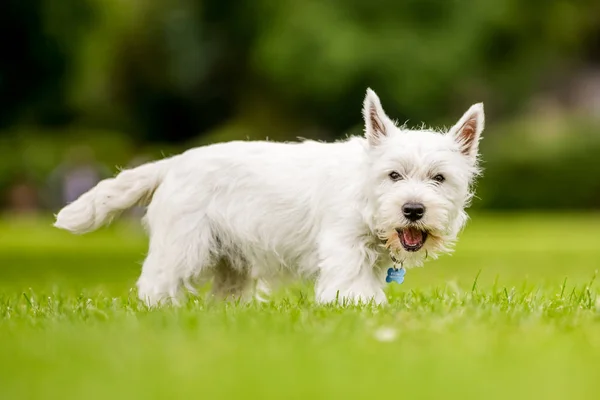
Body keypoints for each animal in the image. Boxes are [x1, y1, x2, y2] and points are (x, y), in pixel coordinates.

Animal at [54, 88, 486, 306]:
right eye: (394, 175)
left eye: (439, 178)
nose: (413, 209)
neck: (364, 190)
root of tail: (174, 162)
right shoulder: (344, 248)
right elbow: (351, 288)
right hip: (181, 246)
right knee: (156, 284)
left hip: (230, 260)